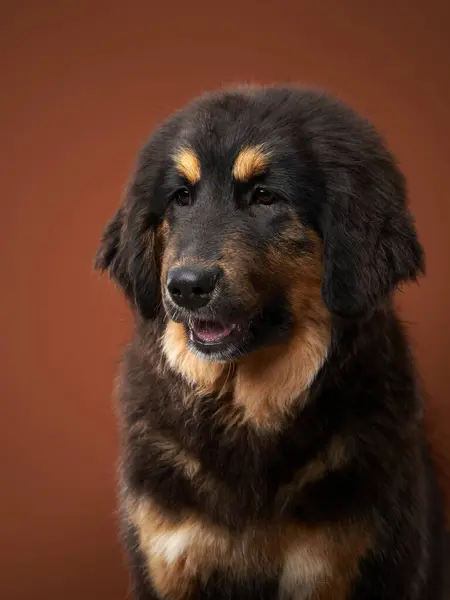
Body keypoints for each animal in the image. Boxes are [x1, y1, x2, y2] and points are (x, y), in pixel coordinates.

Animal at [96, 85, 446, 600]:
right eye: (181, 197)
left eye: (264, 196)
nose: (185, 287)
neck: (247, 410)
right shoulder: (168, 557)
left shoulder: (341, 560)